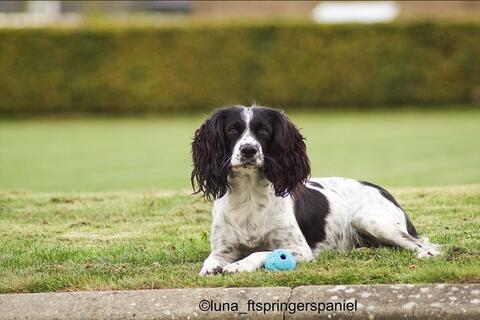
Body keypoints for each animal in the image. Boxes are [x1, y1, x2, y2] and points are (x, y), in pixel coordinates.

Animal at [192, 105, 442, 276]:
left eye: (263, 131)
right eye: (232, 130)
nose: (248, 150)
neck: (249, 194)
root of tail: (383, 190)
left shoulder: (300, 250)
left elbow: (261, 252)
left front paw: (239, 265)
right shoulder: (222, 249)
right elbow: (210, 261)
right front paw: (212, 268)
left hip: (369, 220)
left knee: (423, 243)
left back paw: (426, 254)